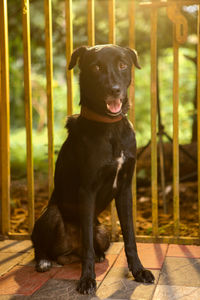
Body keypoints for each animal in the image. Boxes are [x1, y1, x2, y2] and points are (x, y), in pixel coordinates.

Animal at [32, 44, 155, 292]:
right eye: (96, 67)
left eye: (122, 65)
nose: (114, 90)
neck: (111, 128)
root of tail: (69, 251)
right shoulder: (87, 191)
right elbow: (88, 243)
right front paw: (87, 279)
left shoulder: (125, 189)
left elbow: (130, 238)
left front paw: (138, 271)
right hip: (51, 215)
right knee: (45, 246)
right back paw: (44, 260)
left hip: (103, 231)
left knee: (87, 246)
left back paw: (97, 256)